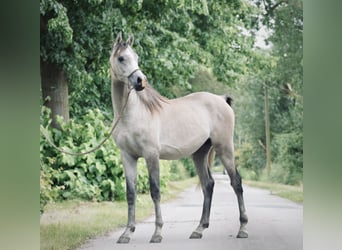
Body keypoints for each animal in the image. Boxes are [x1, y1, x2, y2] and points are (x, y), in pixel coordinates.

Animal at [109, 32, 246, 243]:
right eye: (122, 58)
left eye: (137, 57)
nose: (141, 81)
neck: (133, 114)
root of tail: (221, 100)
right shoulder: (128, 156)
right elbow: (130, 193)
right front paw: (126, 233)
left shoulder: (151, 155)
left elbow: (155, 191)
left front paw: (157, 233)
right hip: (199, 154)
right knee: (208, 185)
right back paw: (199, 229)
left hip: (225, 149)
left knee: (236, 183)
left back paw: (242, 229)